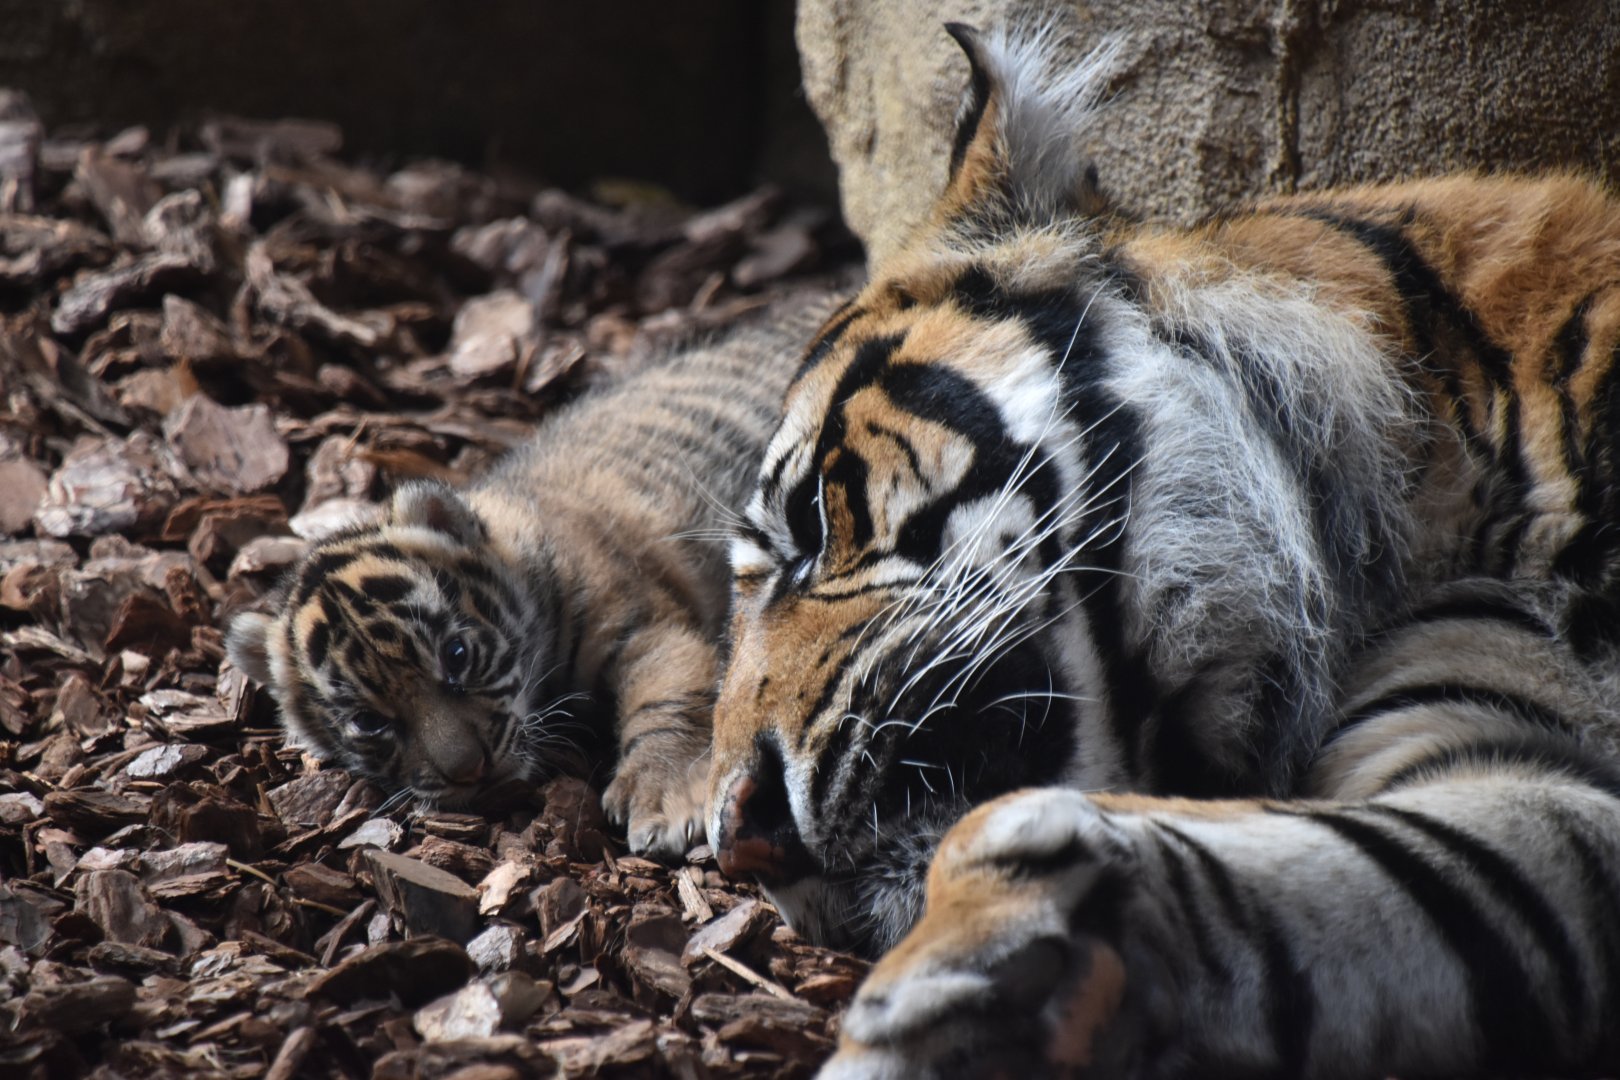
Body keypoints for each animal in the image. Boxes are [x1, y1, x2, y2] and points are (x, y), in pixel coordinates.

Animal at [226, 291, 839, 859]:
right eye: (368, 722)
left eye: (456, 656)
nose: (469, 771)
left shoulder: (648, 628)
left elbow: (669, 702)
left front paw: (662, 800)